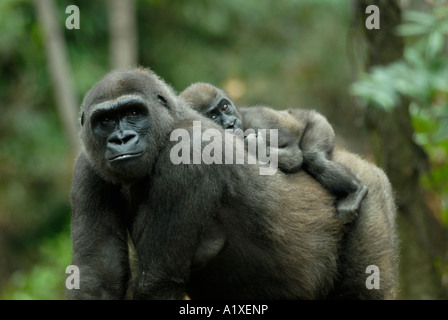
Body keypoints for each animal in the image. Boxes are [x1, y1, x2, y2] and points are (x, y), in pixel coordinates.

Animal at [180, 82, 370, 222]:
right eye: (213, 116)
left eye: (225, 107)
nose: (231, 123)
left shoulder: (260, 123)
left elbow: (294, 156)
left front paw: (253, 146)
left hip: (319, 122)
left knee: (314, 159)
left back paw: (355, 191)